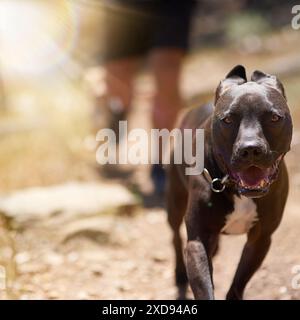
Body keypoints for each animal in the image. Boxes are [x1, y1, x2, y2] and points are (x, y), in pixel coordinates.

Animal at [168, 65, 294, 300]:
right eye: (227, 120)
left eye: (274, 118)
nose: (250, 149)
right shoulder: (198, 241)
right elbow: (205, 287)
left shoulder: (260, 239)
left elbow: (237, 283)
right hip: (174, 203)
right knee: (175, 236)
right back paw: (179, 272)